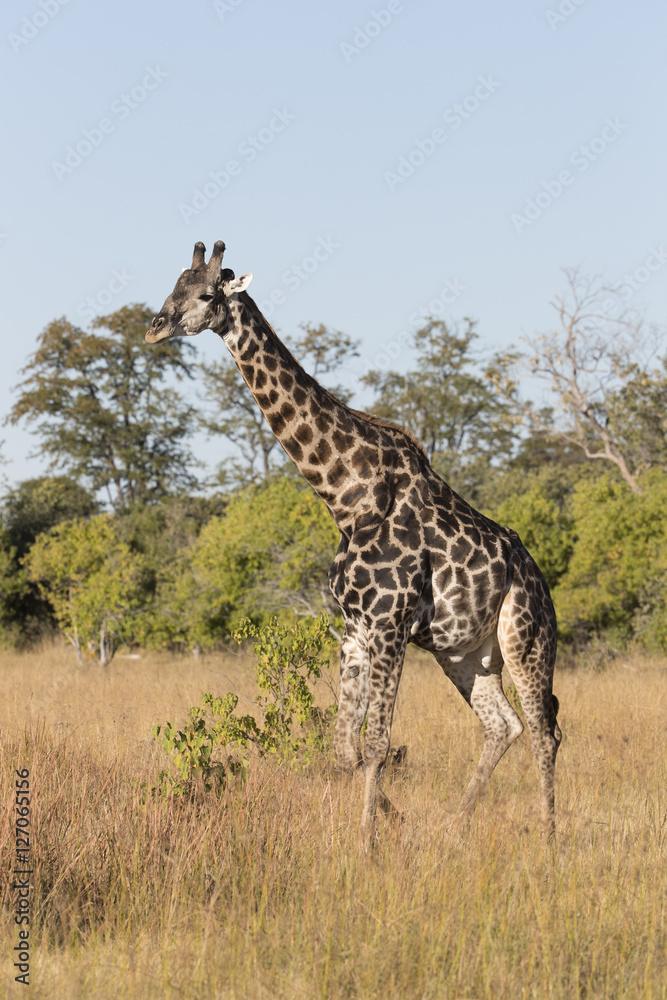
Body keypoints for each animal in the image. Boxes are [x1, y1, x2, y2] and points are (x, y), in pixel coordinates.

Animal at [146, 241, 562, 839]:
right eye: (171, 286)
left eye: (204, 294)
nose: (155, 328)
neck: (348, 498)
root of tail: (539, 580)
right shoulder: (355, 630)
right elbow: (345, 748)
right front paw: (396, 819)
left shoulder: (389, 625)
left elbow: (377, 744)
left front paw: (369, 842)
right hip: (464, 652)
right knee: (504, 725)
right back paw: (457, 827)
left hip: (525, 638)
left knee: (545, 730)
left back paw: (550, 839)